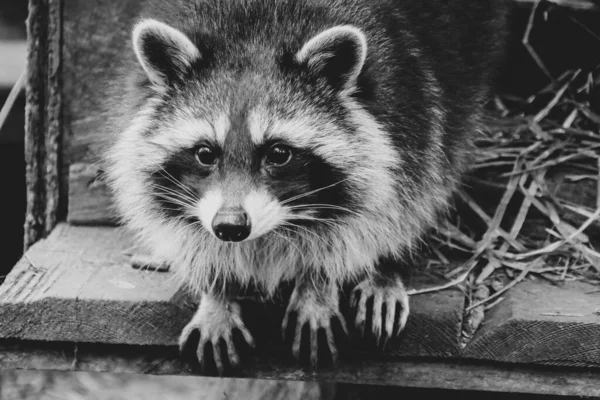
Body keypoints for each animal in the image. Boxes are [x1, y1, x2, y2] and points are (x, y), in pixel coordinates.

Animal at [103, 0, 506, 374]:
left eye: (279, 153)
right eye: (205, 153)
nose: (230, 227)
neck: (255, 34)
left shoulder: (406, 103)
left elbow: (380, 202)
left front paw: (318, 281)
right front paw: (216, 288)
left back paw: (385, 267)